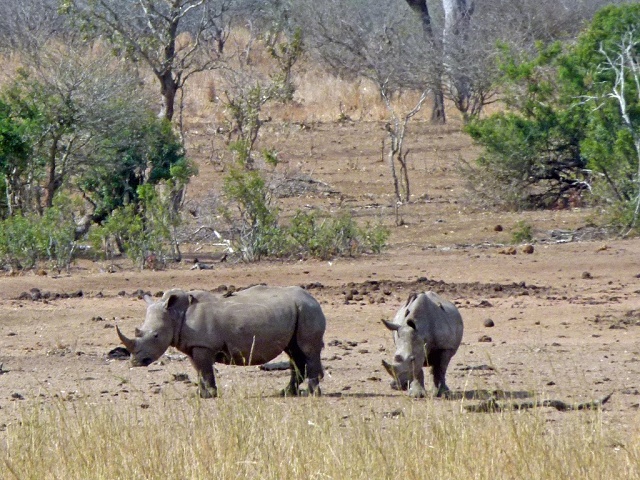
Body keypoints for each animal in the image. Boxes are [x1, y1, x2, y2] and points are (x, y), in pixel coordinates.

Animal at [115, 284, 328, 398]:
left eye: (156, 336)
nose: (136, 362)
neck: (175, 315)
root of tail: (312, 298)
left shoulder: (203, 345)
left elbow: (205, 370)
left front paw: (209, 395)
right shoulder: (194, 346)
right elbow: (199, 371)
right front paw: (200, 395)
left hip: (307, 310)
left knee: (308, 350)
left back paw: (313, 393)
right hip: (297, 311)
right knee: (293, 352)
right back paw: (285, 393)